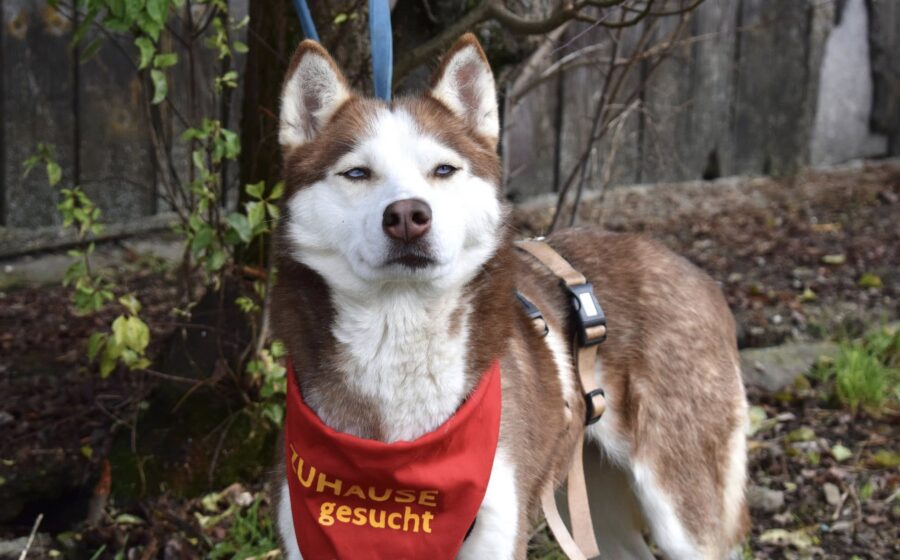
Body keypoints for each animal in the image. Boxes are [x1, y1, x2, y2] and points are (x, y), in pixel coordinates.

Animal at [271, 33, 749, 560]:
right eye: (357, 173)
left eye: (443, 169)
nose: (408, 216)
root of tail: (696, 273)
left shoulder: (498, 530)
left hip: (683, 512)